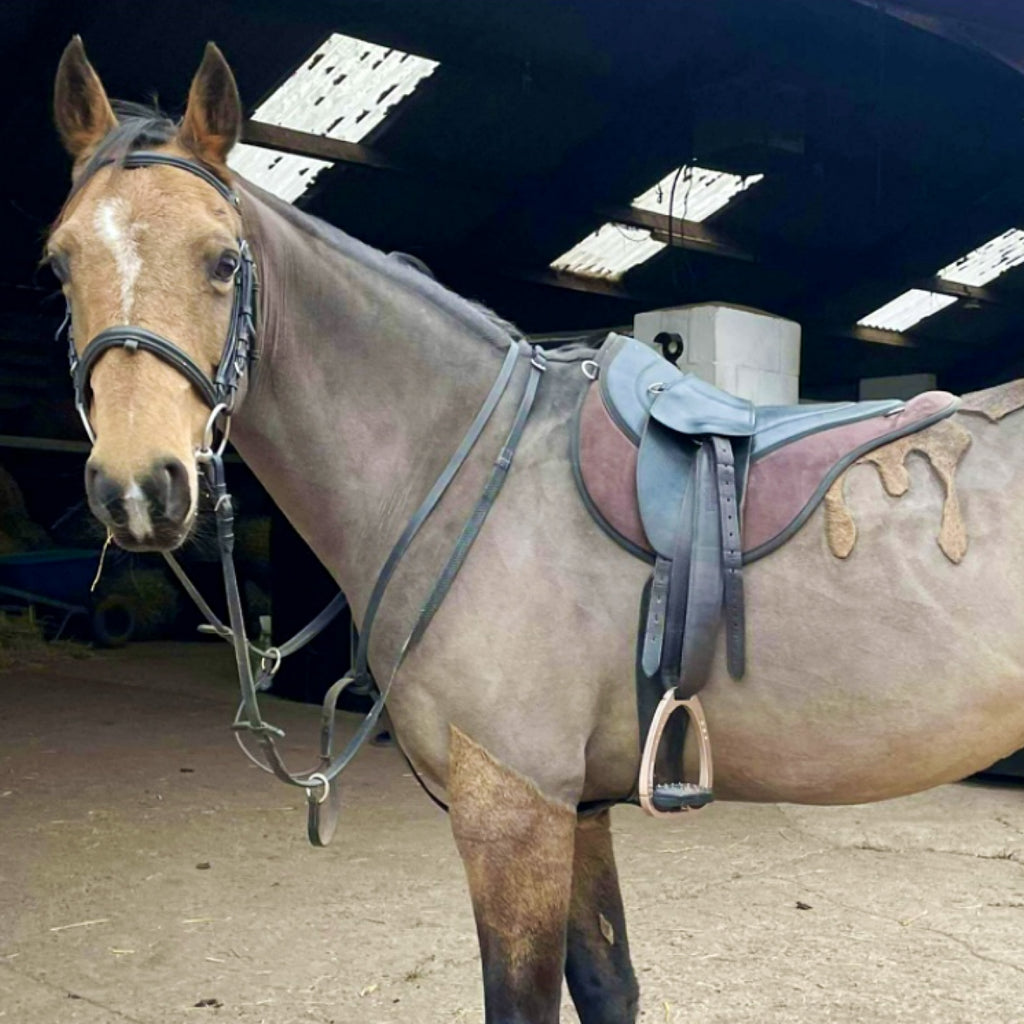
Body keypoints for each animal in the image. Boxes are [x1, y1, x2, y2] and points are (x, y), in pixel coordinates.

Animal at [48, 38, 1024, 1023]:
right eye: (60, 262)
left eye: (222, 262)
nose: (140, 486)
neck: (471, 466)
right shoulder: (575, 807)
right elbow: (606, 982)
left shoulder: (513, 808)